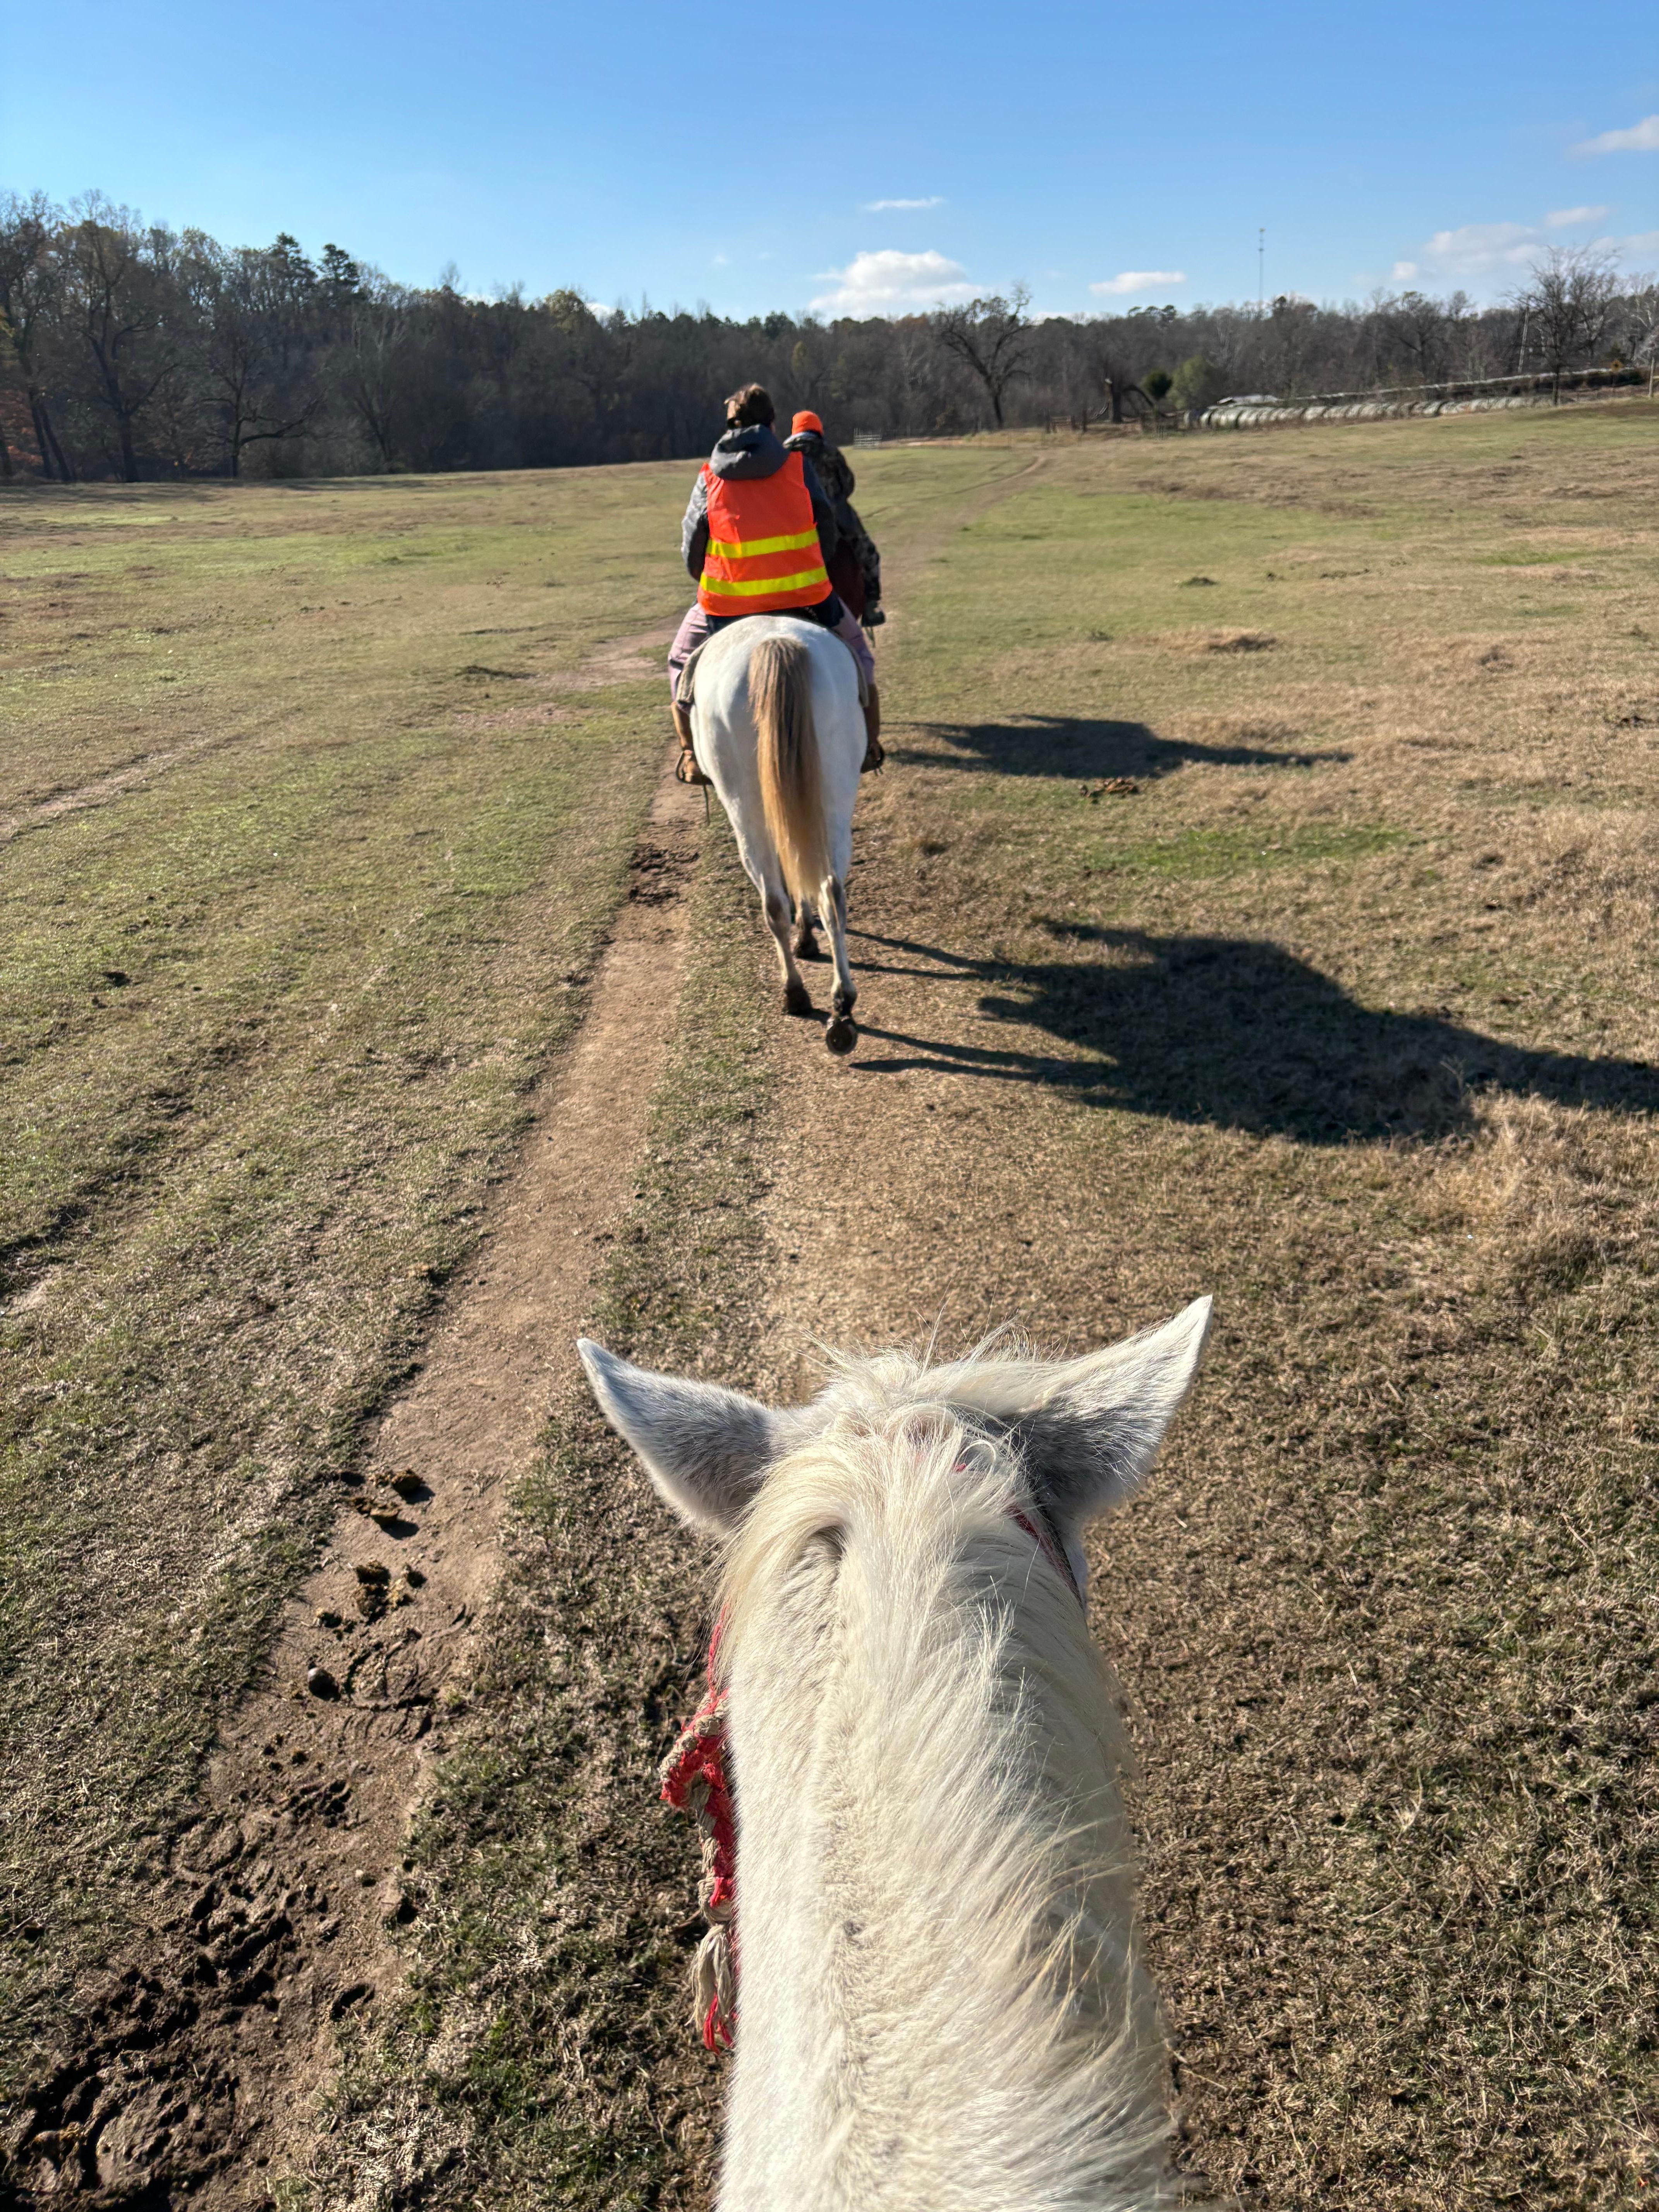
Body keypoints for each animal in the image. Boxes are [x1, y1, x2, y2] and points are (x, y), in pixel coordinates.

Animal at [686, 616, 866, 1056]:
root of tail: (774, 641)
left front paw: (805, 939)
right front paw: (808, 935)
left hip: (744, 808)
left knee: (772, 903)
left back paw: (795, 993)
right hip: (834, 794)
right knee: (832, 892)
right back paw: (842, 1006)